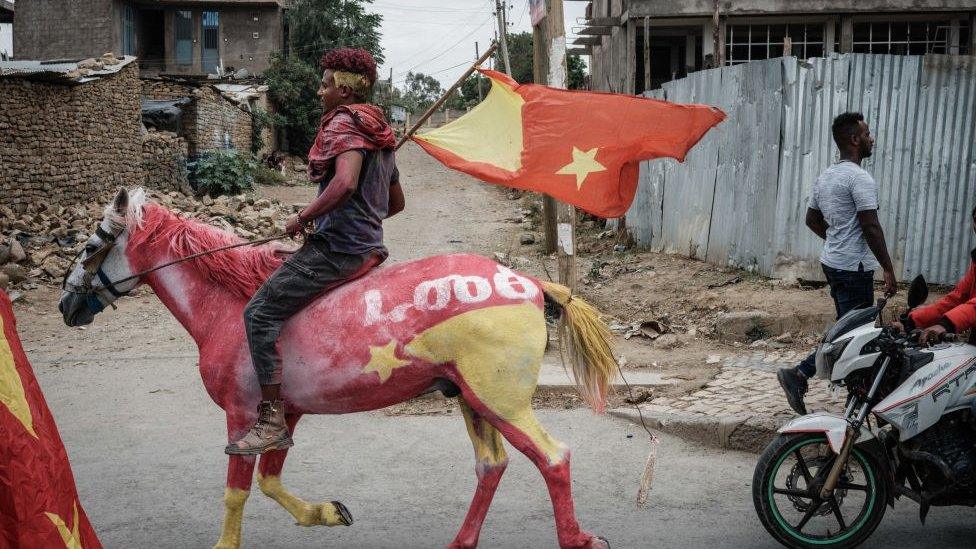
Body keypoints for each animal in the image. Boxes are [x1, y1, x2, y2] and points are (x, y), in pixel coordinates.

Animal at [57, 189, 616, 548]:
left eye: (89, 246)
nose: (66, 304)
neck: (229, 306)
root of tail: (530, 284)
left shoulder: (242, 416)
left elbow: (238, 492)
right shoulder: (284, 414)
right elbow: (271, 481)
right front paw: (326, 513)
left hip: (500, 401)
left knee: (553, 459)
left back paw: (577, 539)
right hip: (470, 400)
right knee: (491, 466)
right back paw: (460, 541)